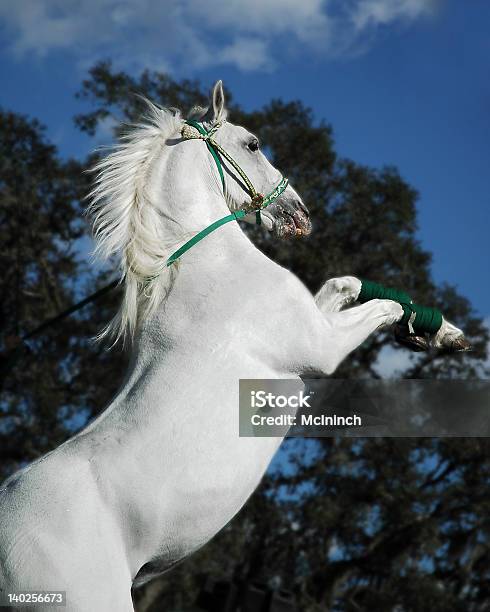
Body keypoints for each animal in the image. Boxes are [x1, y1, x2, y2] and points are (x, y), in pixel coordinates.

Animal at [0, 82, 468, 612]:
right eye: (253, 143)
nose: (301, 215)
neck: (211, 265)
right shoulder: (321, 346)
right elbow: (384, 304)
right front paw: (432, 331)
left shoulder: (316, 317)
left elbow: (344, 283)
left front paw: (444, 331)